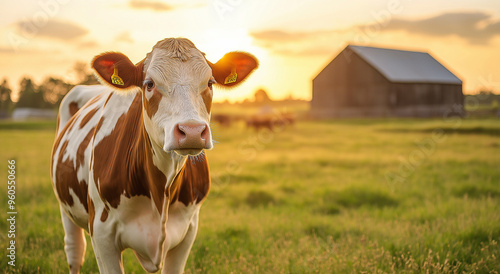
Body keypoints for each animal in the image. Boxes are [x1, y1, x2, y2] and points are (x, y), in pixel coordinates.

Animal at [50, 37, 258, 272]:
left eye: (210, 83)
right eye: (149, 84)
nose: (192, 131)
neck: (160, 193)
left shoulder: (187, 231)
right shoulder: (102, 235)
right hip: (65, 208)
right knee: (74, 250)